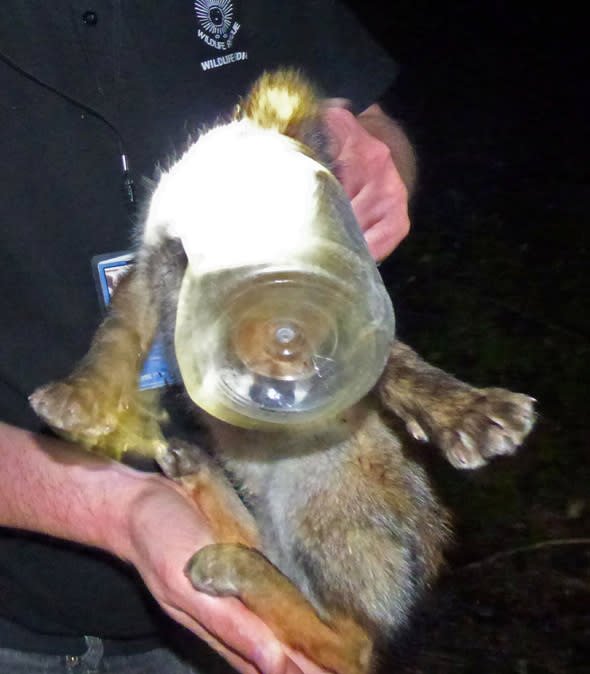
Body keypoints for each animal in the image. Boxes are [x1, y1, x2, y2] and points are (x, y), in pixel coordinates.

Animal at [30, 71, 536, 668]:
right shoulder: (151, 273)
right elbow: (114, 340)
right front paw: (78, 401)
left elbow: (396, 364)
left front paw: (469, 413)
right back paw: (202, 484)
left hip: (321, 498)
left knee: (349, 645)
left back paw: (238, 567)